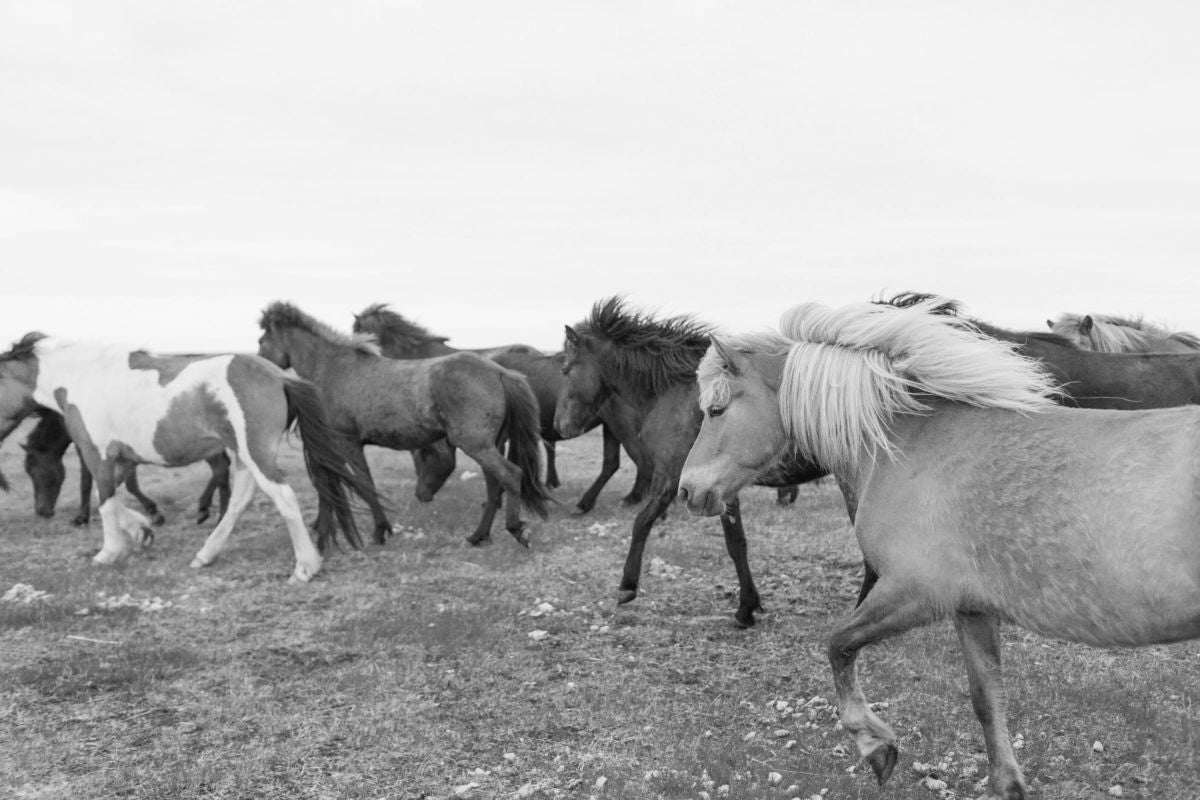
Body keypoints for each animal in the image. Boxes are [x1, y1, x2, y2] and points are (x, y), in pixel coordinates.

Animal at [22, 409, 231, 525]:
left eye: (35, 472)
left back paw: (209, 511)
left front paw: (81, 518)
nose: (42, 511)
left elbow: (88, 482)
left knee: (221, 467)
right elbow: (125, 482)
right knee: (223, 468)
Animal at [259, 302, 550, 546]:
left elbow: (365, 484)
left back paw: (516, 530)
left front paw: (380, 531)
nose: (263, 366)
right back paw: (478, 536)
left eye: (262, 340)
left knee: (510, 475)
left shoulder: (349, 442)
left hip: (477, 445)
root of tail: (500, 372)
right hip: (488, 445)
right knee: (494, 485)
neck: (332, 368)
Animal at [352, 303, 653, 513]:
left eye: (360, 332)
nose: (421, 496)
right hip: (611, 428)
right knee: (611, 464)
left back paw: (634, 499)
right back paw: (586, 503)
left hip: (620, 426)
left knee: (641, 460)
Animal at [555, 298, 826, 627]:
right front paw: (747, 606)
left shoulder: (672, 477)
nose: (558, 425)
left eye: (565, 370)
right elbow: (736, 543)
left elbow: (641, 522)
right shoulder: (716, 486)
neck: (670, 394)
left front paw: (627, 586)